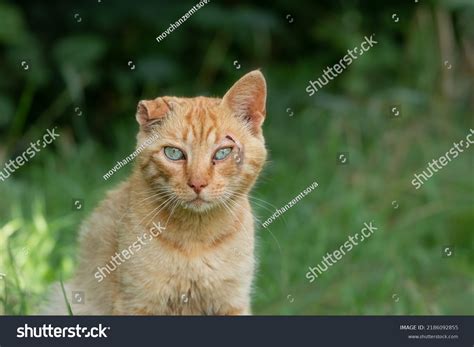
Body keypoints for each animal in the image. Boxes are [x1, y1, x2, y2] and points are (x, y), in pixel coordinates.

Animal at [43, 70, 268, 316]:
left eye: (223, 153)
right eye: (173, 153)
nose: (197, 183)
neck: (196, 239)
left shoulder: (232, 303)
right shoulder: (135, 303)